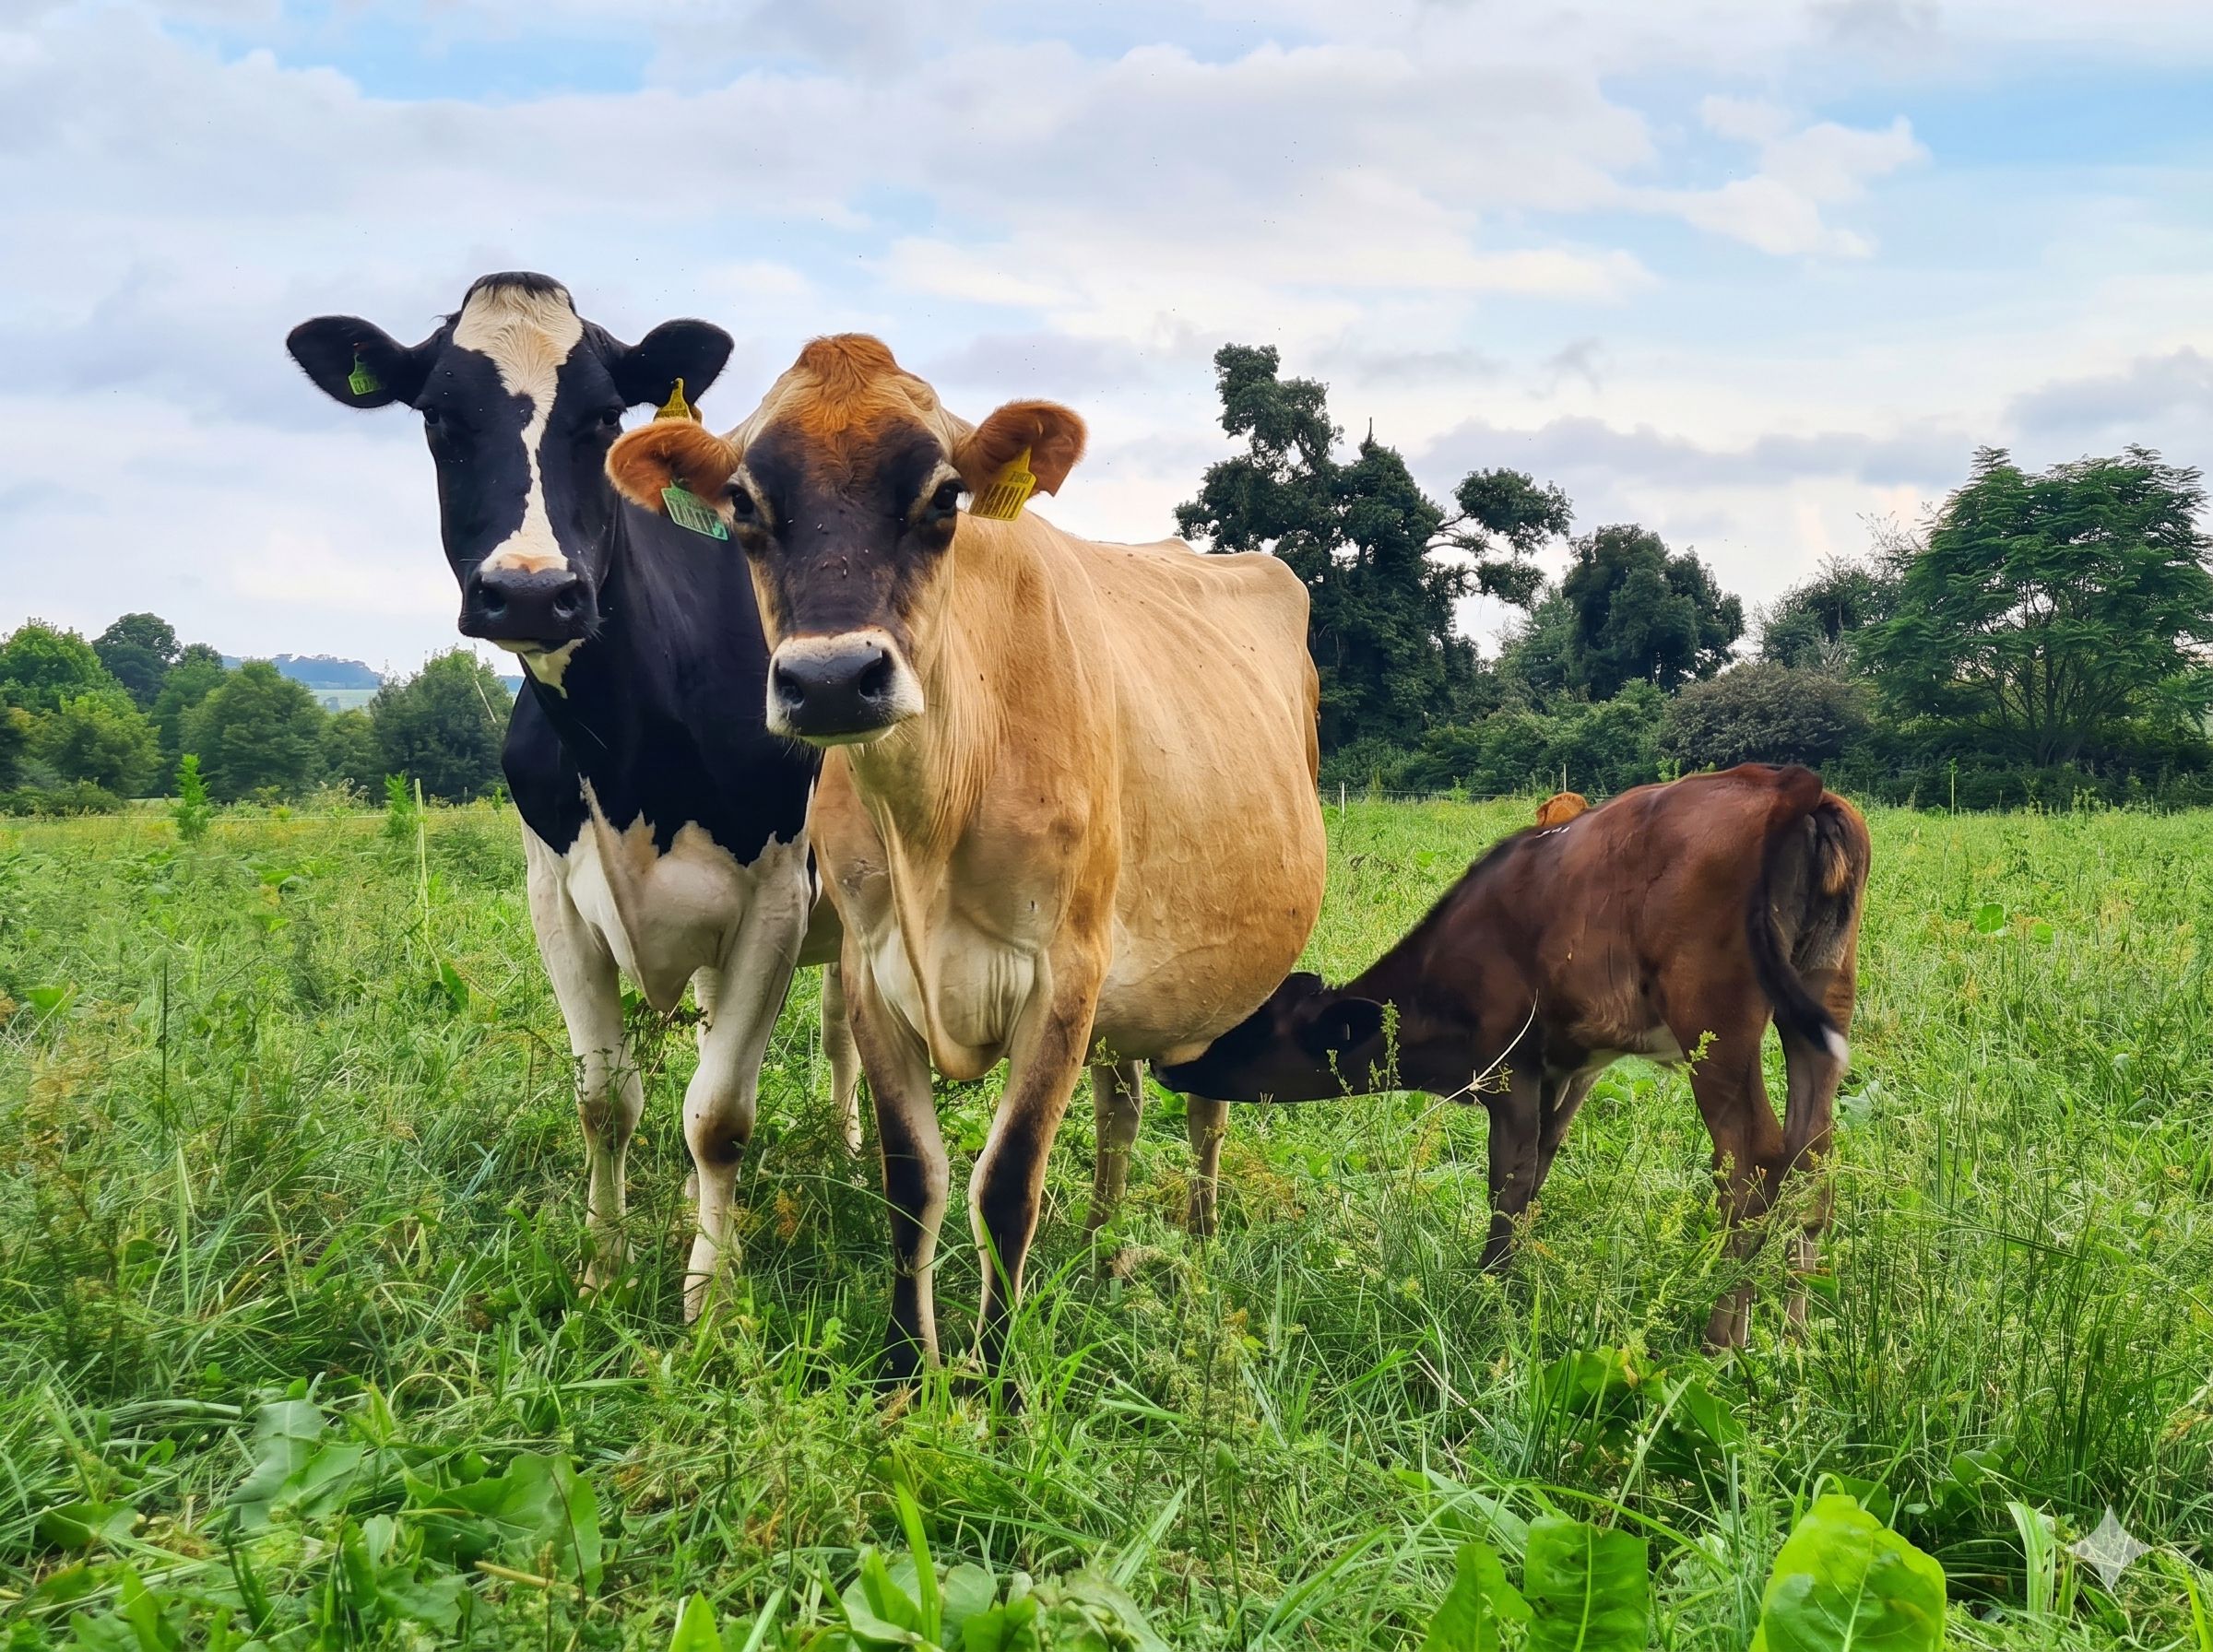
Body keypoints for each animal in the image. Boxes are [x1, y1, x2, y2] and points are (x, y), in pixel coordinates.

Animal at [286, 273, 859, 1319]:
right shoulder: (555, 899)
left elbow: (720, 1115)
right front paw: (604, 1267)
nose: (530, 592)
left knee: (846, 1035)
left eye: (601, 418)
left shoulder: (777, 900)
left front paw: (708, 1299)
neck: (632, 749)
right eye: (437, 418)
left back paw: (847, 1150)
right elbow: (606, 1102)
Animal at [603, 335, 1328, 1384]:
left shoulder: (1065, 973)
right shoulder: (873, 971)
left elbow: (1005, 1182)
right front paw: (910, 1366)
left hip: (1224, 972)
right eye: (742, 503)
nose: (832, 679)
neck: (935, 810)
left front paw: (1000, 1372)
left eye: (945, 496)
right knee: (1120, 1104)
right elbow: (916, 1180)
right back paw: (1101, 1238)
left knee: (1204, 1106)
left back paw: (1195, 1233)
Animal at [1158, 764, 1869, 1349]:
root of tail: (1788, 783)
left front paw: (1489, 1288)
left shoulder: (1507, 1069)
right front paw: (1514, 1279)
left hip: (1714, 1023)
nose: (1168, 1062)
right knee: (1815, 1160)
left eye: (1248, 1030)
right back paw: (1795, 1336)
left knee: (1754, 1164)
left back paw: (1723, 1340)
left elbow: (1508, 1181)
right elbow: (1538, 1169)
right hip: (1821, 999)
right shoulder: (1571, 1066)